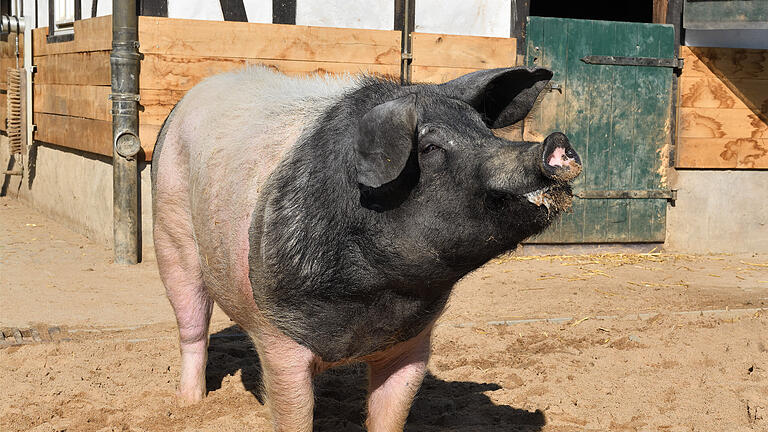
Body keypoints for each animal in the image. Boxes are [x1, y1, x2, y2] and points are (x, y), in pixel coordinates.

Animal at [152, 65, 584, 432]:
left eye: (486, 131)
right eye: (429, 147)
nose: (556, 142)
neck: (371, 295)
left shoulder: (412, 344)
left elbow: (389, 413)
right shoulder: (278, 337)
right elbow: (293, 413)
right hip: (170, 227)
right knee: (191, 322)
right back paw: (190, 405)